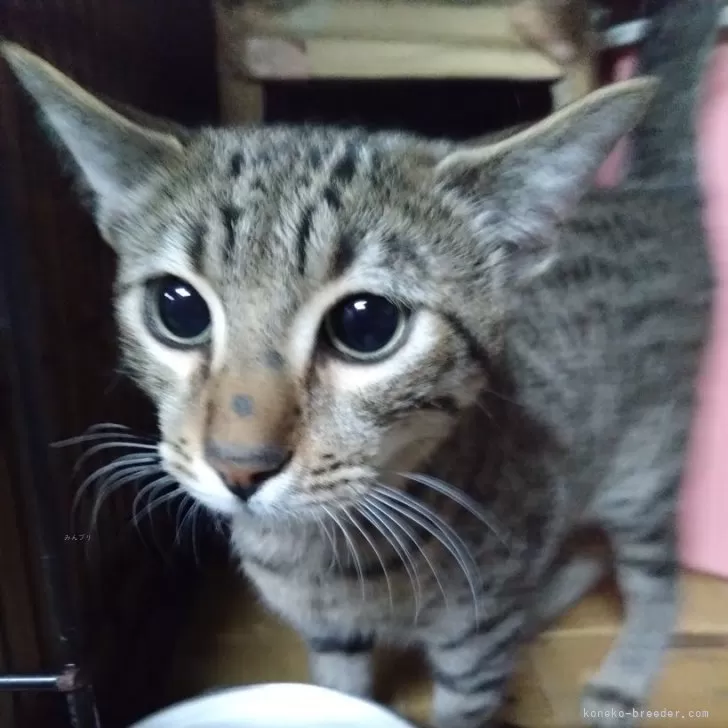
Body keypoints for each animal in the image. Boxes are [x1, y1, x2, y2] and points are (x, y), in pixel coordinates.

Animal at [0, 2, 716, 724]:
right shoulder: (330, 634)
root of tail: (649, 190)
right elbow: (335, 690)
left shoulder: (476, 644)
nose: (238, 466)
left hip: (643, 471)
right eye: (178, 309)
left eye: (366, 325)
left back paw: (624, 667)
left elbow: (465, 698)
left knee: (657, 578)